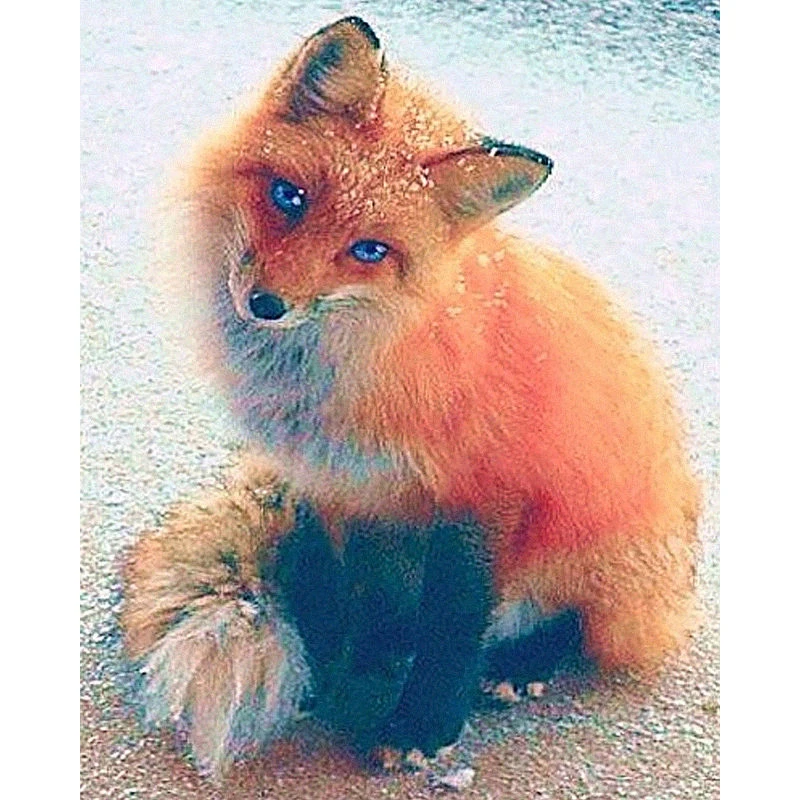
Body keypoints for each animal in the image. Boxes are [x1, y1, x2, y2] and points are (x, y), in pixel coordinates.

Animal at [121, 16, 700, 779]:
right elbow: (347, 590)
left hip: (593, 543)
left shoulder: (483, 498)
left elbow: (454, 623)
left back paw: (521, 662)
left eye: (370, 250)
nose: (266, 304)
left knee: (585, 624)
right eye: (289, 197)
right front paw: (345, 667)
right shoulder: (342, 486)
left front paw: (424, 725)